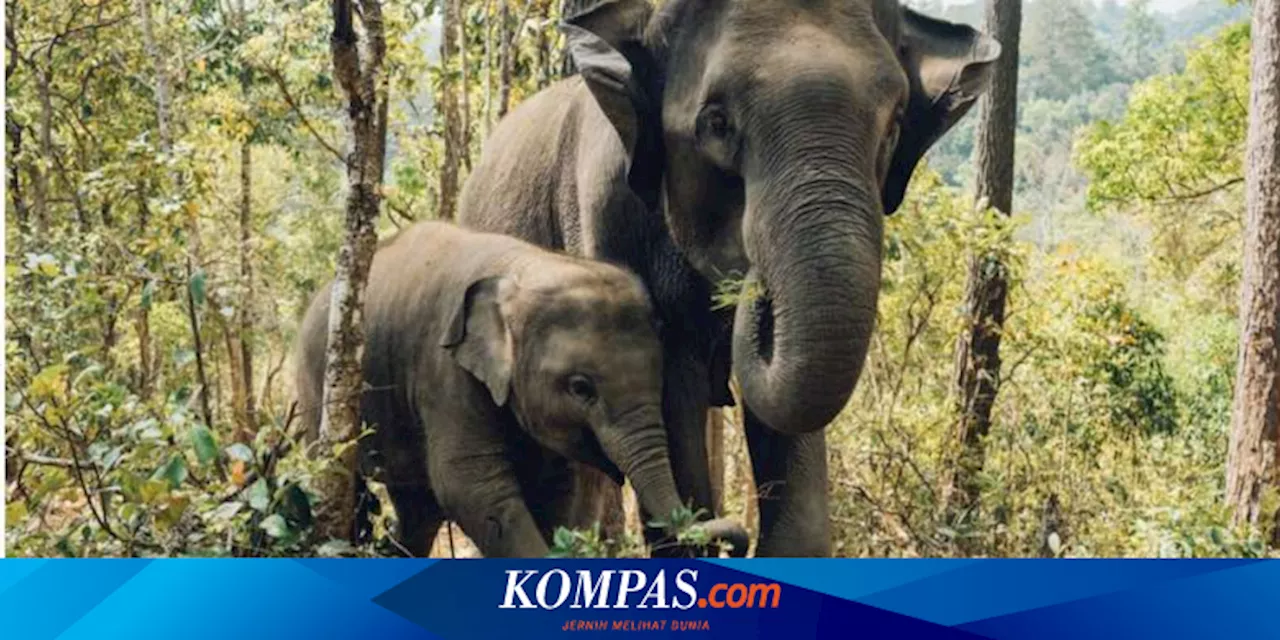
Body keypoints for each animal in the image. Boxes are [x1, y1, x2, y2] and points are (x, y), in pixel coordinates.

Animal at [293, 222, 747, 558]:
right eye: (581, 388)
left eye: (660, 375)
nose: (731, 539)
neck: (524, 268)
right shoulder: (445, 374)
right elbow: (471, 487)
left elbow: (557, 488)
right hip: (318, 388)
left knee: (417, 510)